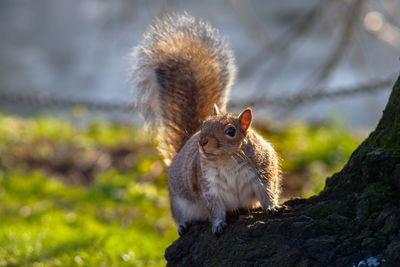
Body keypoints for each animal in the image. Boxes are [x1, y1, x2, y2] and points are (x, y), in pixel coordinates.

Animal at [132, 14, 282, 237]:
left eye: (231, 131)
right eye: (203, 125)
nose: (202, 141)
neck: (227, 160)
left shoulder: (263, 173)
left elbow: (267, 193)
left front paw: (272, 207)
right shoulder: (208, 186)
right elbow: (215, 209)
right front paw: (218, 224)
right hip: (179, 202)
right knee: (181, 216)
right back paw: (183, 225)